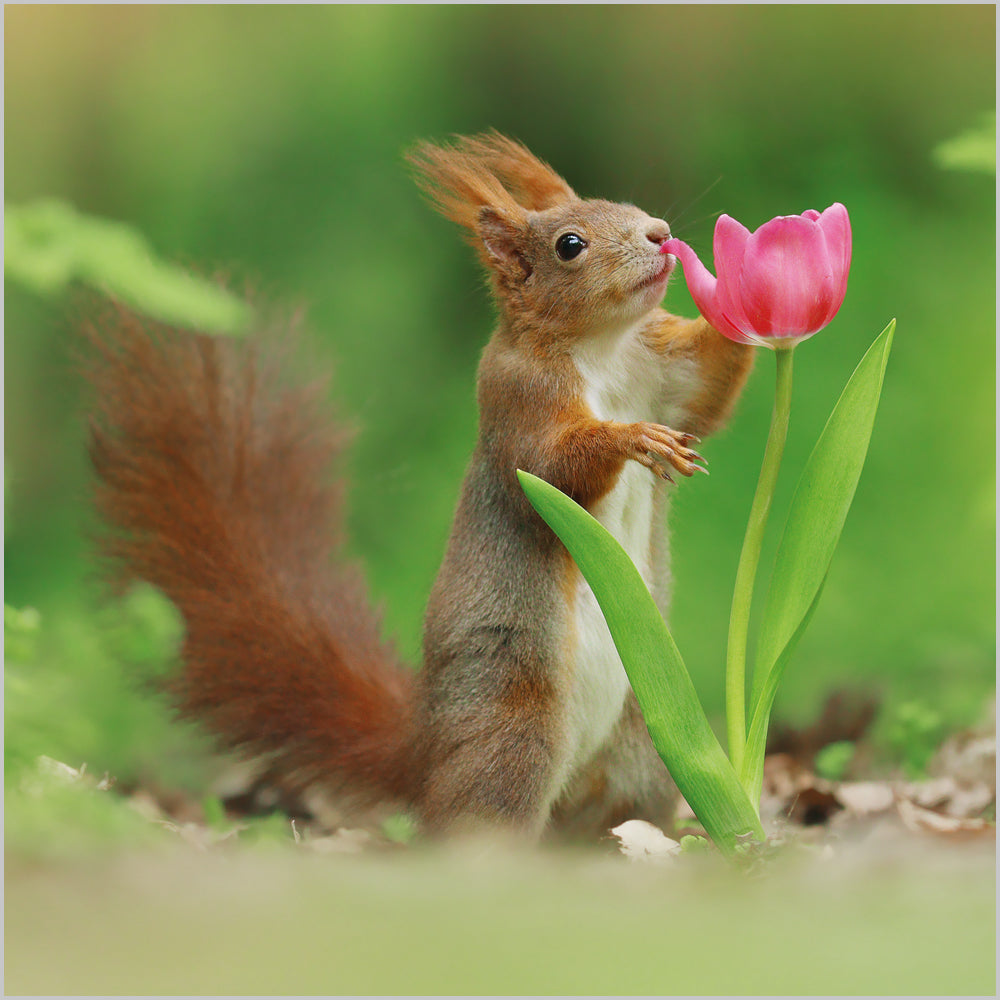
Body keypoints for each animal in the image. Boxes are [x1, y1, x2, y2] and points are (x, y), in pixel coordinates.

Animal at [84, 132, 753, 841]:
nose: (660, 233)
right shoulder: (517, 400)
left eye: (626, 206)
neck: (605, 348)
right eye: (569, 244)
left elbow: (708, 388)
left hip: (644, 742)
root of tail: (424, 756)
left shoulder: (663, 371)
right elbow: (551, 467)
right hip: (513, 736)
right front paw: (632, 438)